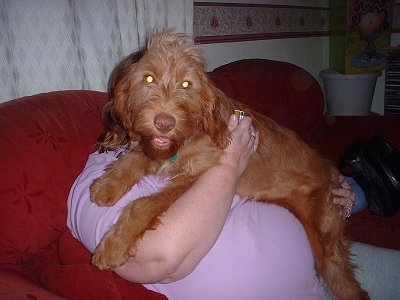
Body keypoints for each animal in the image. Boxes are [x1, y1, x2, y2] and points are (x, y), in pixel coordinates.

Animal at [90, 31, 368, 300]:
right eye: (148, 79)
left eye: (186, 84)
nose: (164, 123)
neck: (191, 134)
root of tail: (331, 172)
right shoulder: (161, 149)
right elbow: (133, 158)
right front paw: (106, 186)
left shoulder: (195, 174)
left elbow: (143, 204)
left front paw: (114, 246)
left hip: (326, 242)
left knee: (352, 289)